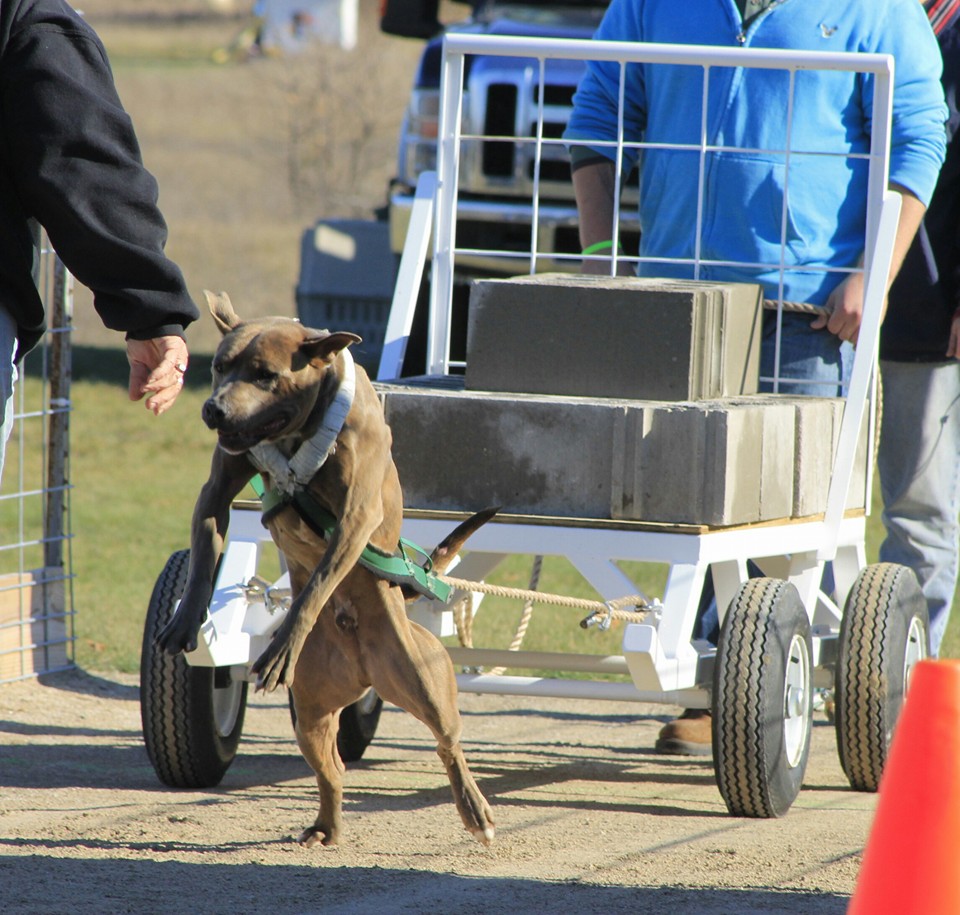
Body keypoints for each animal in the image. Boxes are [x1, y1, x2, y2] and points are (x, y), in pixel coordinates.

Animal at [158, 292, 496, 844]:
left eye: (266, 374)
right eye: (220, 366)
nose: (214, 409)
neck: (300, 431)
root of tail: (363, 669)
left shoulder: (357, 518)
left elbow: (317, 583)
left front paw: (282, 644)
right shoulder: (217, 491)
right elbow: (206, 557)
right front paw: (185, 620)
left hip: (426, 685)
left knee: (448, 744)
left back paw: (475, 810)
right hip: (311, 712)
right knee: (332, 769)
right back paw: (326, 825)